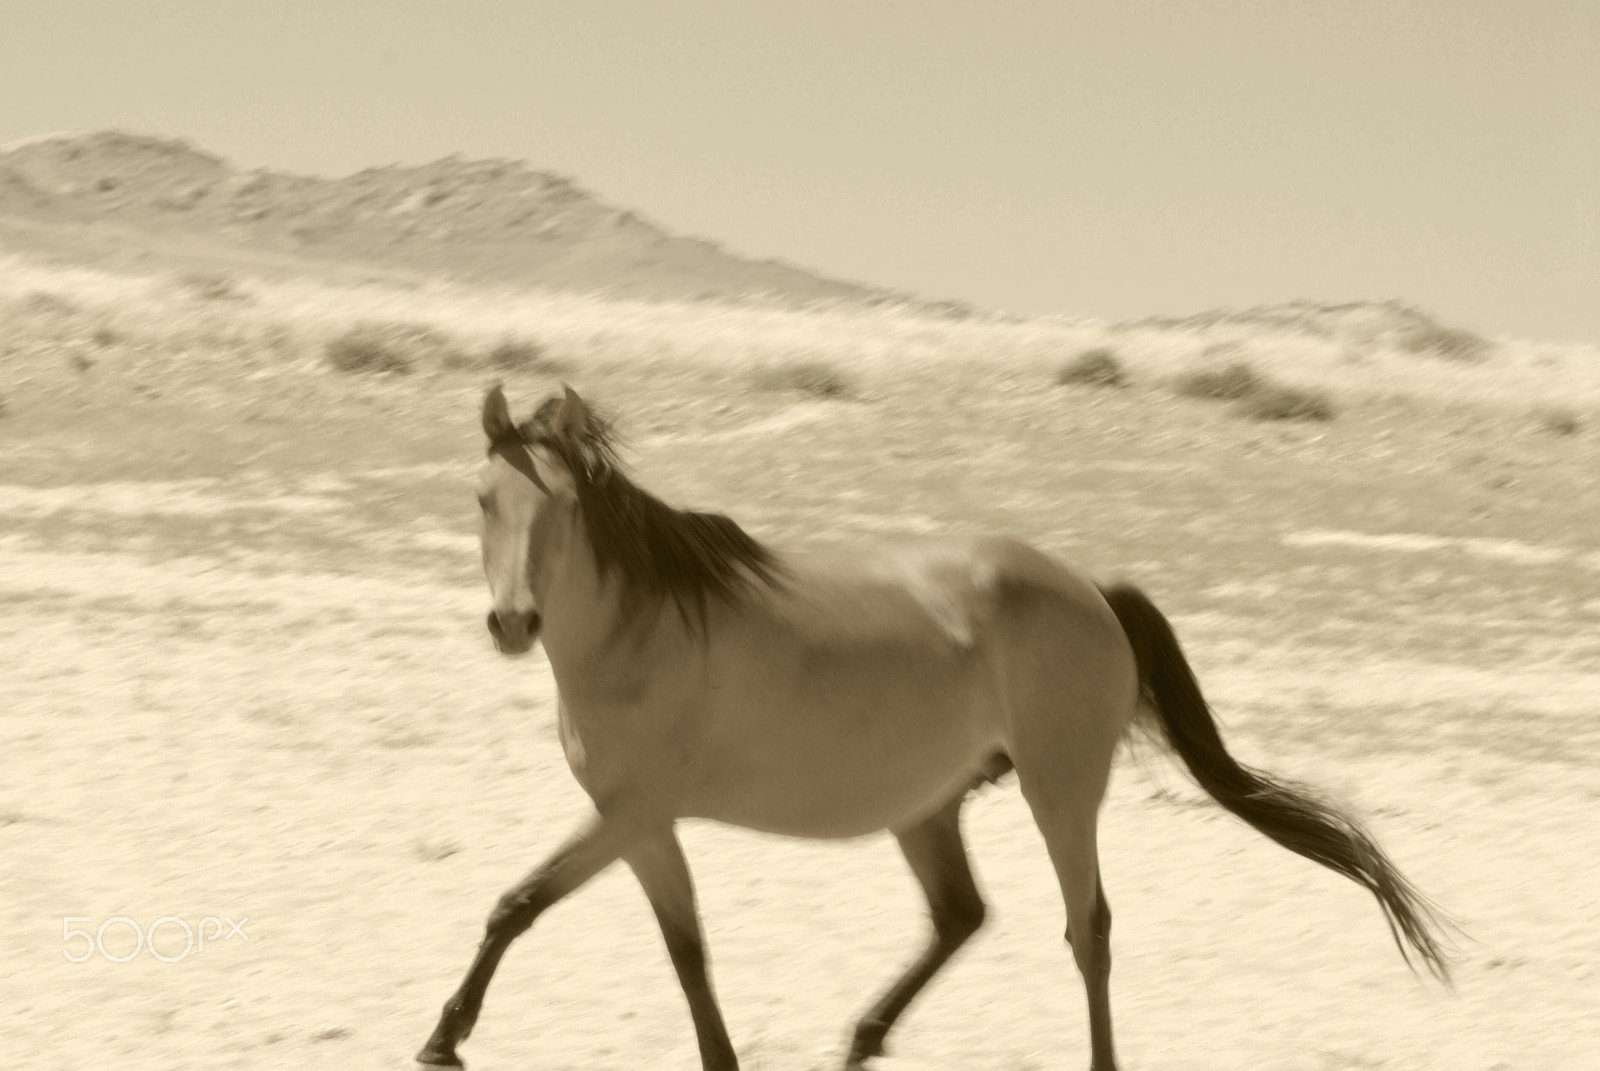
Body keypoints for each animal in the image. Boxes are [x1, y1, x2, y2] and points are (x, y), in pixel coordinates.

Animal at [416, 385, 1451, 1071]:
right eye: (483, 498)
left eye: (560, 504)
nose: (513, 623)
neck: (645, 631)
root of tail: (1090, 589)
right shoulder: (641, 824)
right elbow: (656, 941)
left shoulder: (633, 815)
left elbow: (536, 908)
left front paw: (443, 1038)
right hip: (928, 806)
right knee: (961, 914)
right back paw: (860, 1039)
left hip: (1059, 788)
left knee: (1088, 928)